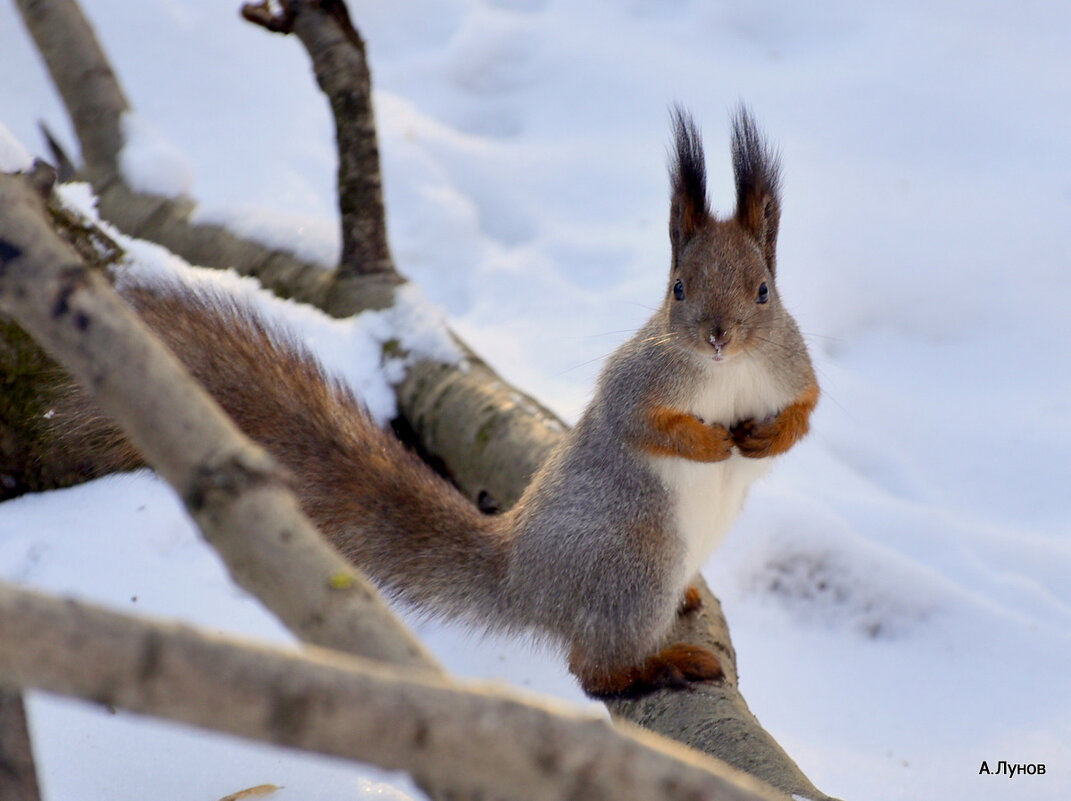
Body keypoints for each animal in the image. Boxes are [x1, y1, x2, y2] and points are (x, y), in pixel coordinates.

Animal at [39, 106, 809, 693]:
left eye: (762, 291)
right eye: (677, 289)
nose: (717, 337)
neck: (729, 371)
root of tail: (521, 579)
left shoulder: (790, 368)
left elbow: (806, 409)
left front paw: (768, 438)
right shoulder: (639, 378)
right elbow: (641, 424)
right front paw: (710, 440)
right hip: (633, 560)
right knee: (593, 671)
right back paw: (663, 662)